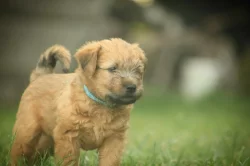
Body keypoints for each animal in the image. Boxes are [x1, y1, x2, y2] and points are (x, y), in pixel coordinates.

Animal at [10, 38, 146, 165]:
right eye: (113, 68)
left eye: (137, 70)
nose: (132, 87)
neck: (100, 104)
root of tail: (41, 76)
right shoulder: (69, 137)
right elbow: (69, 162)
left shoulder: (114, 139)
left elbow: (109, 161)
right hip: (27, 133)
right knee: (18, 153)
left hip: (46, 140)